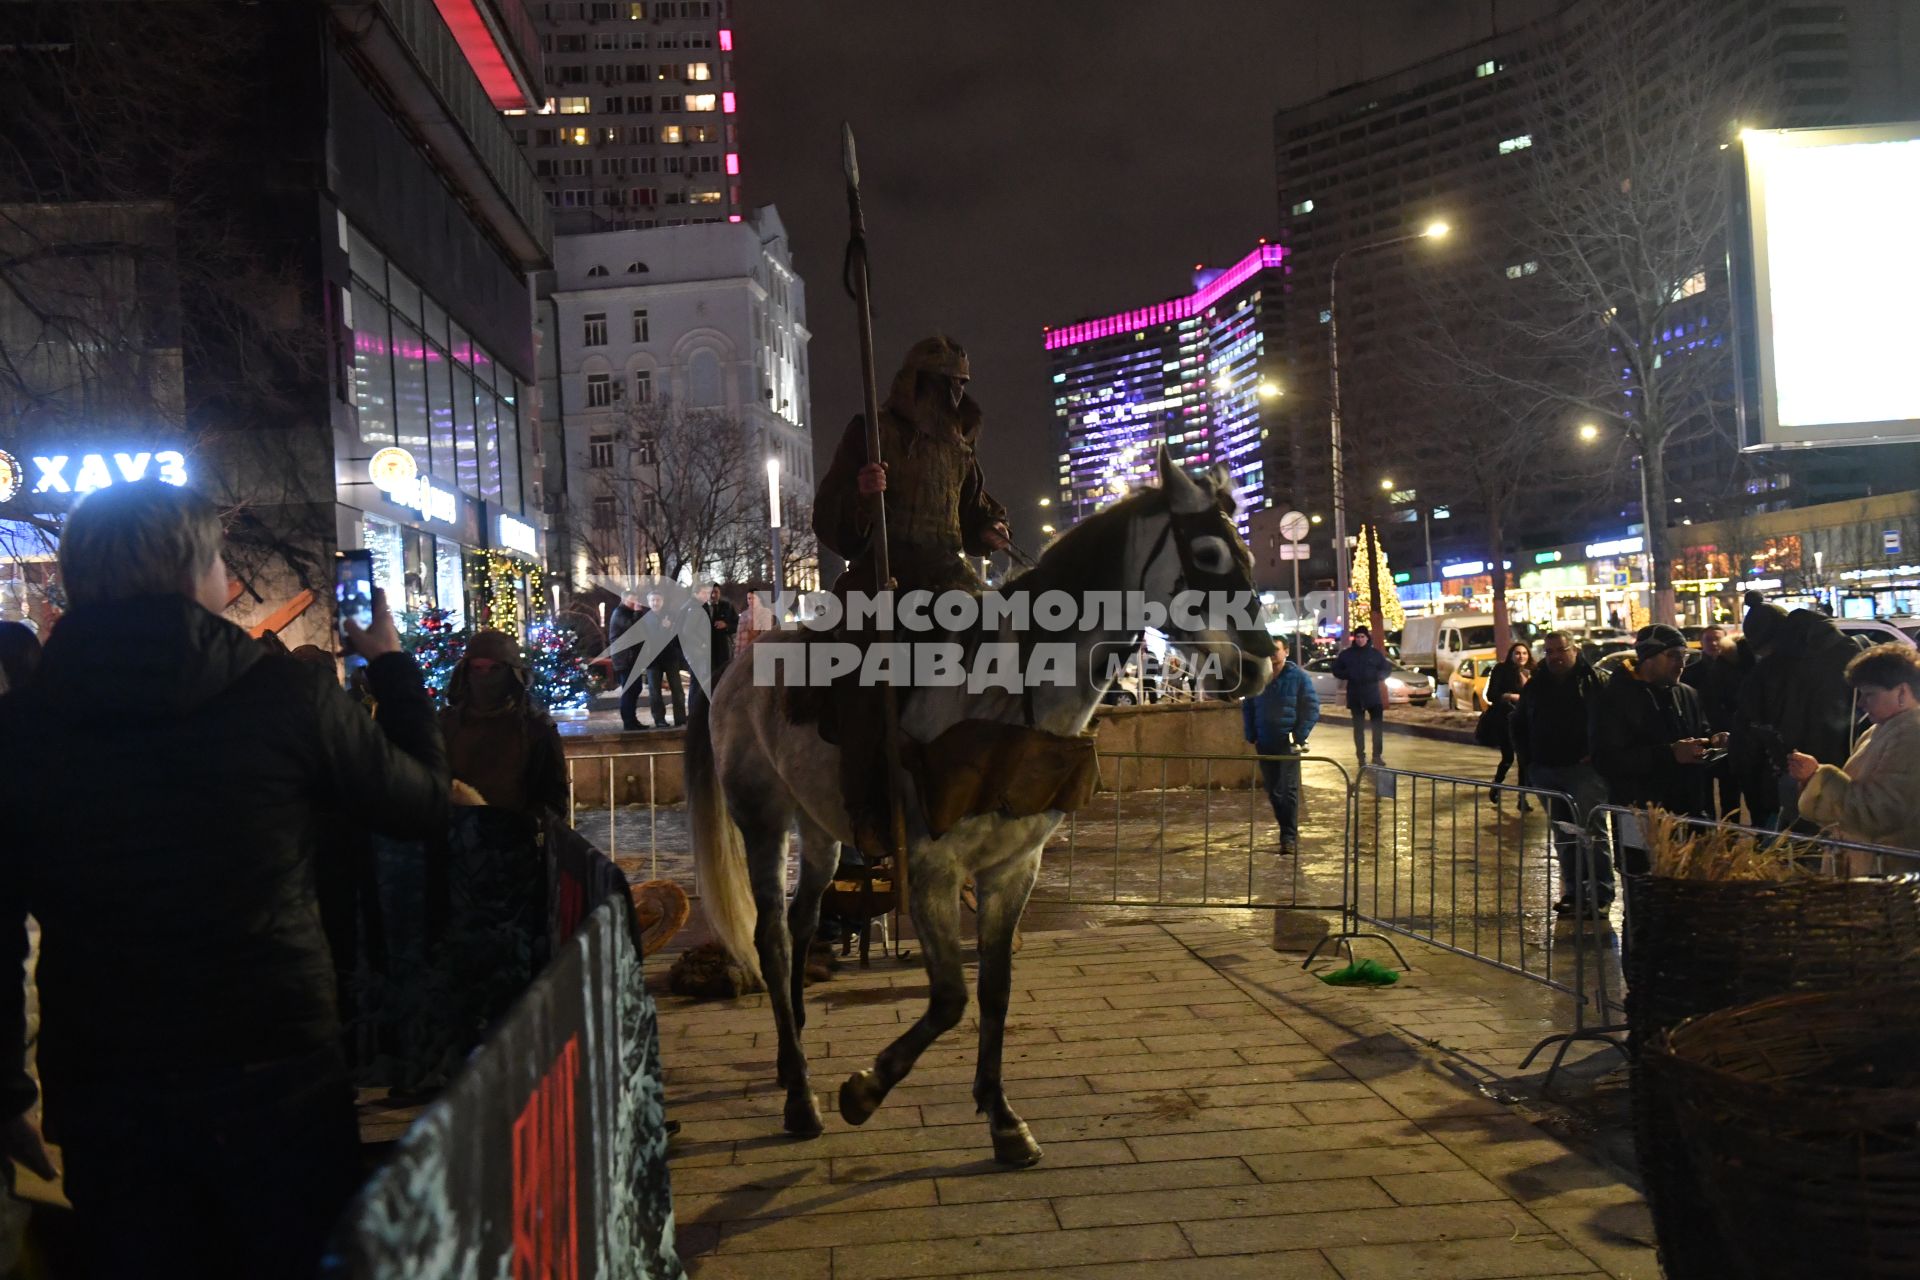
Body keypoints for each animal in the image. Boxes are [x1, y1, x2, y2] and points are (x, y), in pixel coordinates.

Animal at [687, 445, 1274, 1166]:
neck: (1009, 696)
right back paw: (800, 1096)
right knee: (769, 935)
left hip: (820, 827)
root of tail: (735, 670)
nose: (1263, 666)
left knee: (802, 923)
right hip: (762, 818)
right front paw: (866, 1089)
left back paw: (789, 1047)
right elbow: (949, 998)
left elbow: (994, 990)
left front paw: (1002, 1119)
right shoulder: (934, 871)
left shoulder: (1013, 869)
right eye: (1211, 554)